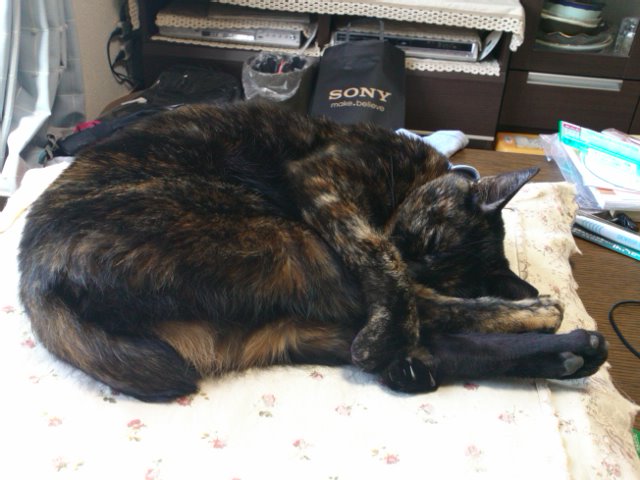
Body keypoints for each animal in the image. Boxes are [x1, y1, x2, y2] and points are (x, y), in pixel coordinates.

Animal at [18, 101, 607, 401]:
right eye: (427, 240)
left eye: (437, 254)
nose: (416, 262)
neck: (412, 175)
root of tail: (35, 280)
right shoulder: (325, 183)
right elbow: (384, 263)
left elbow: (407, 291)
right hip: (295, 245)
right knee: (427, 325)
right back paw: (549, 320)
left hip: (289, 303)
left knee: (434, 339)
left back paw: (572, 349)